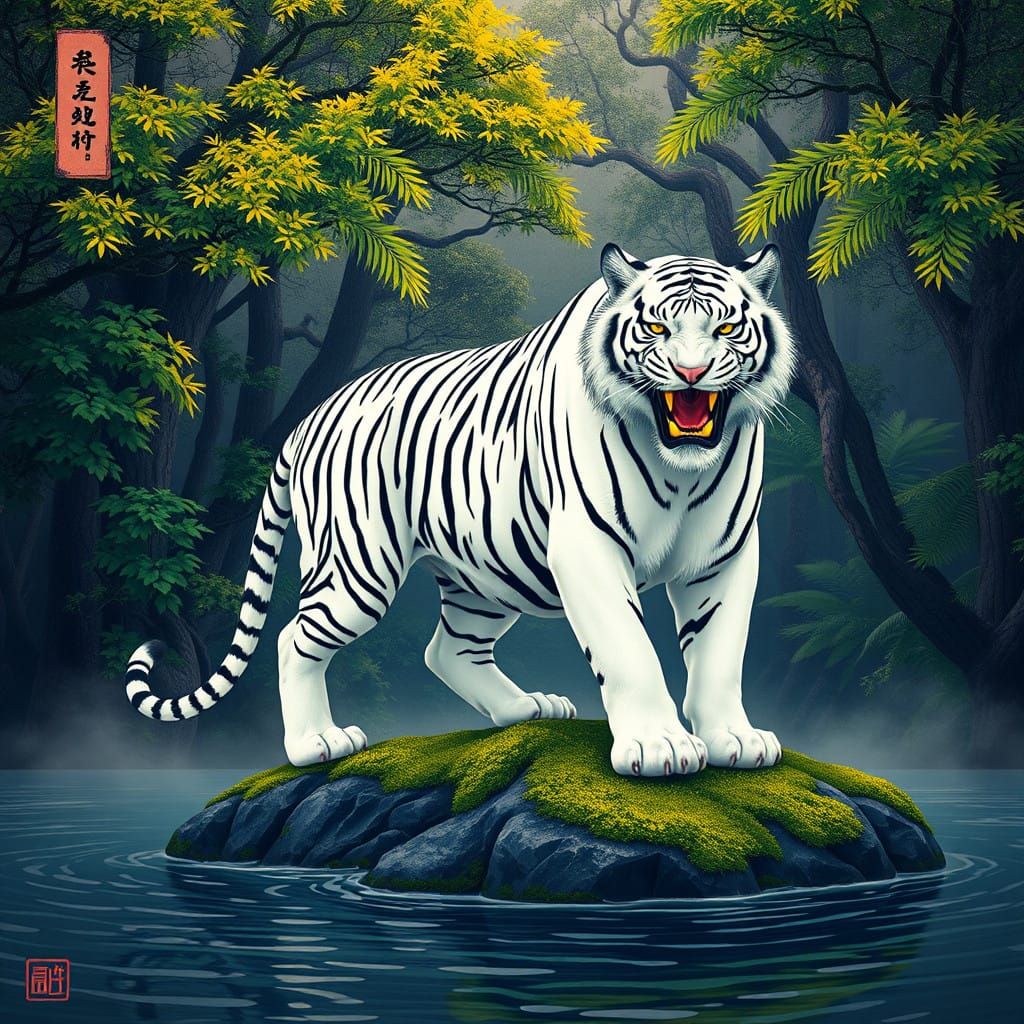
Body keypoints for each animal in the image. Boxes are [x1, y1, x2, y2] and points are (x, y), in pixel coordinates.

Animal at [125, 242, 795, 778]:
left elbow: (720, 652)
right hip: (357, 569)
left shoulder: (726, 554)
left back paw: (527, 709)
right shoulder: (589, 547)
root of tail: (309, 419)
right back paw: (316, 743)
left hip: (487, 577)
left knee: (446, 649)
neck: (678, 469)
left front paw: (733, 738)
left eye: (727, 331)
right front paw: (661, 746)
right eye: (657, 328)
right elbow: (630, 648)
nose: (691, 371)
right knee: (295, 637)